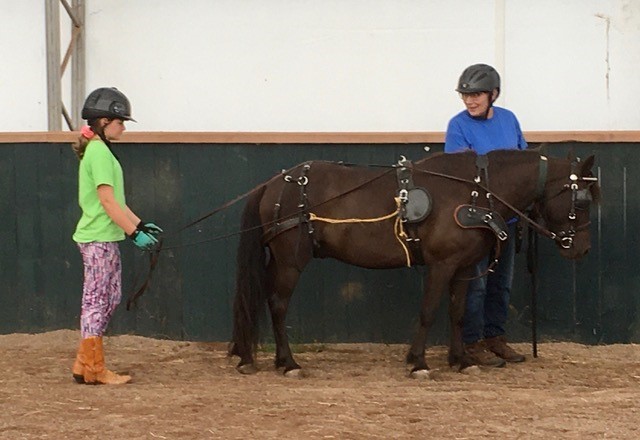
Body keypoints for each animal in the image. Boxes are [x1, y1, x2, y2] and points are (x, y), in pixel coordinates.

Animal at [229, 149, 599, 377]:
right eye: (580, 201)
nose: (581, 249)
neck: (475, 194)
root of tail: (273, 184)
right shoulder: (441, 264)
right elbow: (428, 311)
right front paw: (418, 362)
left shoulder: (463, 267)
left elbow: (457, 312)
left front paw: (461, 360)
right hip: (290, 261)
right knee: (278, 304)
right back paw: (289, 363)